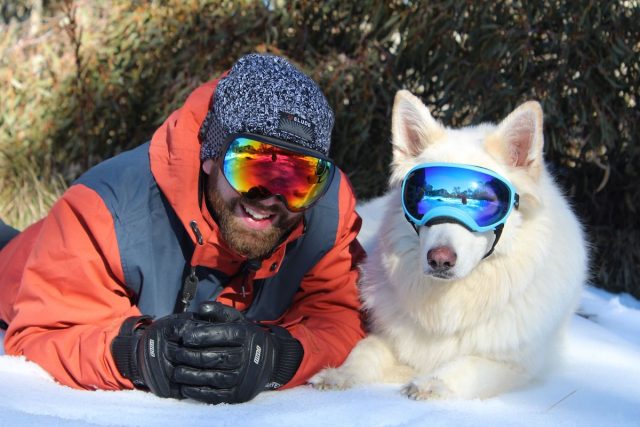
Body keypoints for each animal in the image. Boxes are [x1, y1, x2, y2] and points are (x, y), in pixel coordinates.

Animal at [312, 90, 588, 402]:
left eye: (488, 205)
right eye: (422, 202)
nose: (440, 260)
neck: (450, 304)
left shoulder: (513, 365)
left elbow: (468, 366)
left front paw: (431, 383)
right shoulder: (387, 336)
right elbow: (366, 350)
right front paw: (338, 375)